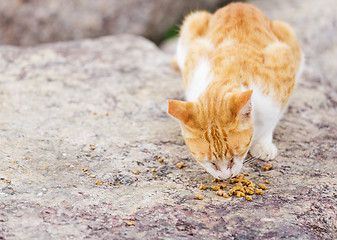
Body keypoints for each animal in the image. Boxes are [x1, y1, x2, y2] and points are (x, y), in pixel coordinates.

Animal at [167, 1, 302, 179]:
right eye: (211, 163)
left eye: (234, 157)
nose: (225, 177)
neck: (225, 77)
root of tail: (238, 4)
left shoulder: (282, 66)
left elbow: (272, 120)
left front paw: (263, 144)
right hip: (193, 23)